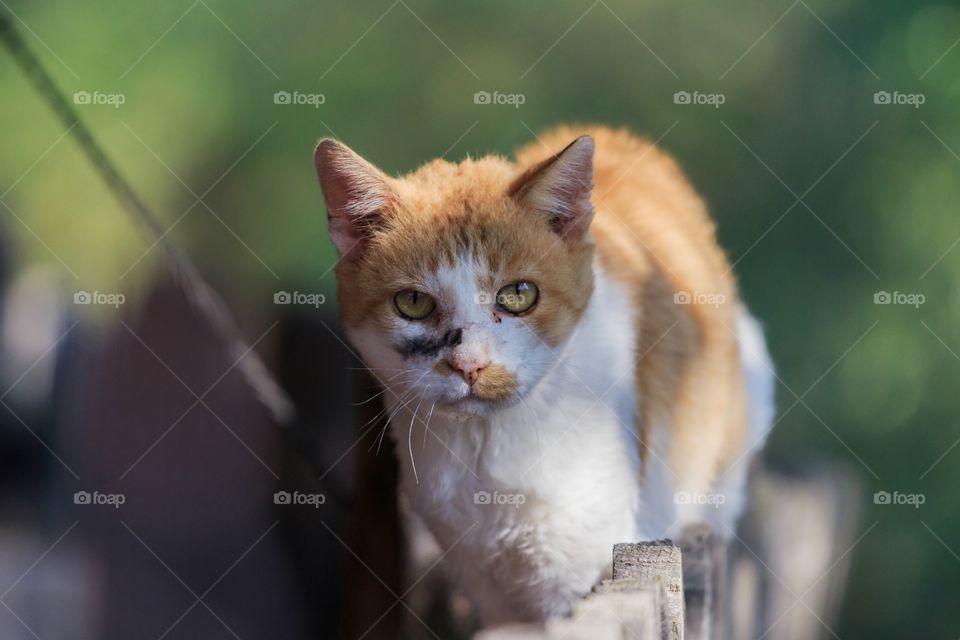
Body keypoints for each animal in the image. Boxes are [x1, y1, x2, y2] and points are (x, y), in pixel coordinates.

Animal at [312, 125, 776, 624]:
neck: (485, 450)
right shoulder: (488, 585)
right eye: (413, 303)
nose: (469, 363)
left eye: (519, 294)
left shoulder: (588, 565)